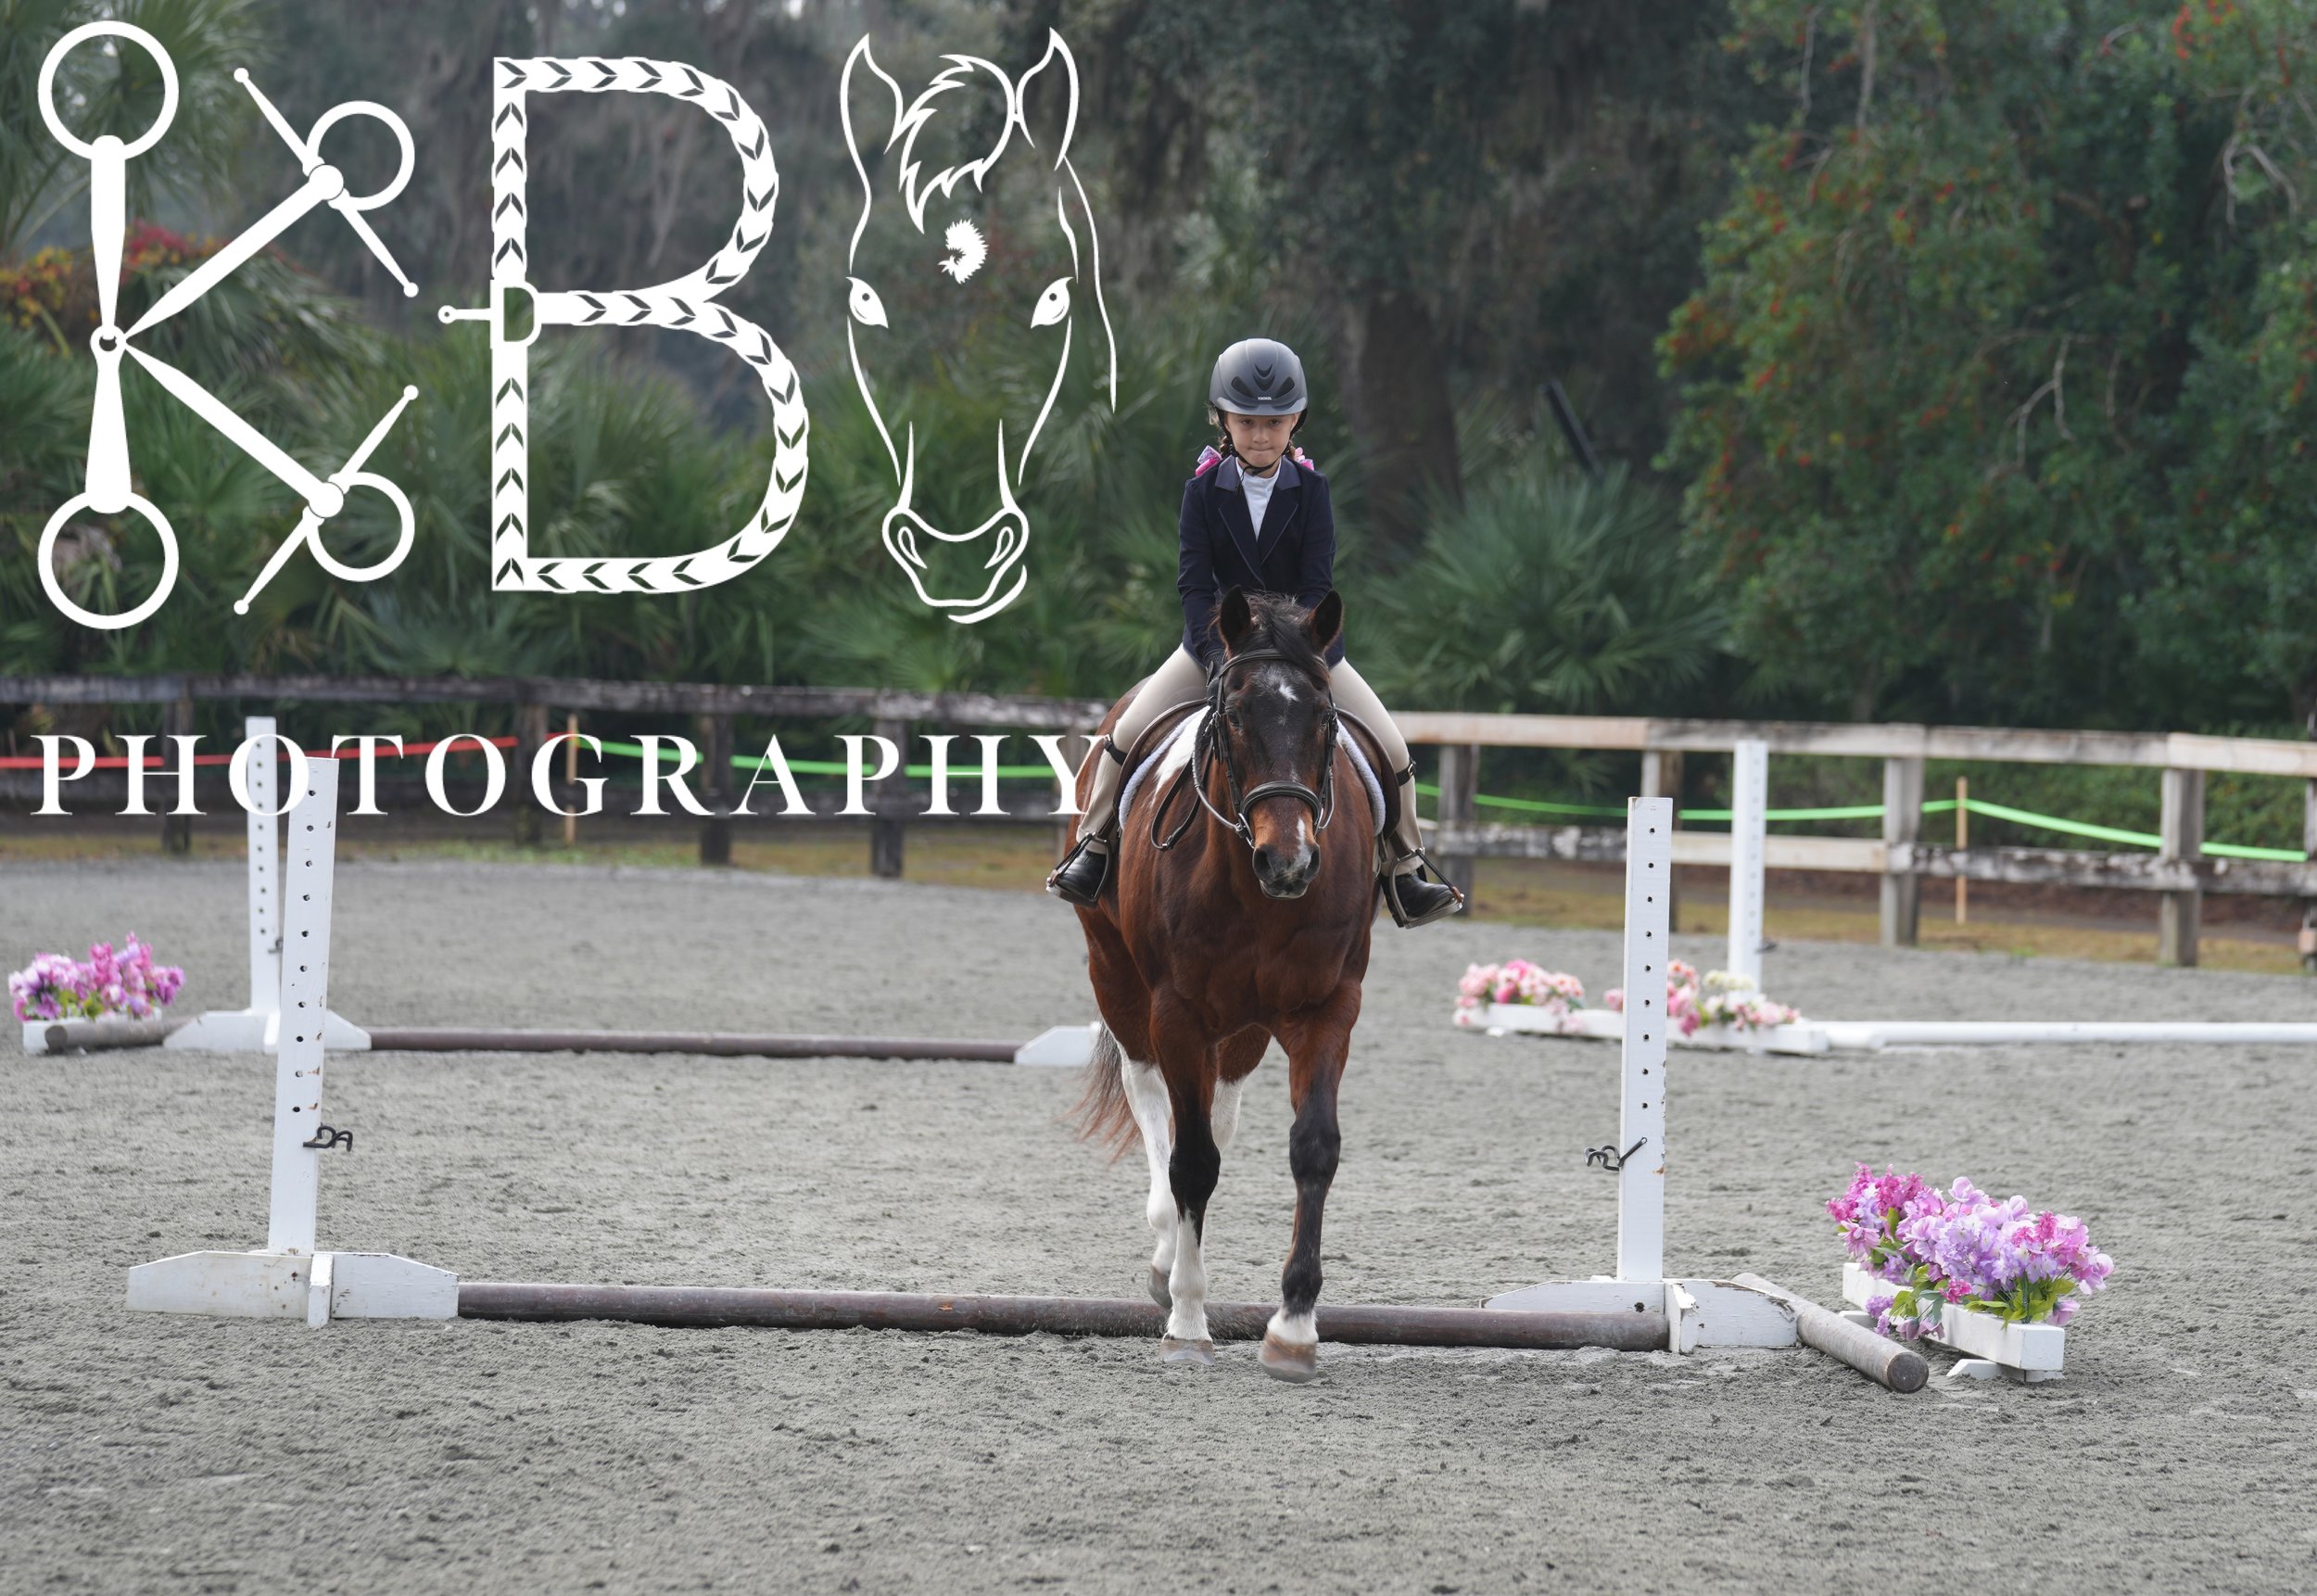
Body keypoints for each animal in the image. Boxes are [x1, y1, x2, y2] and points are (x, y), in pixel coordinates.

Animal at [1070, 587, 1381, 1383]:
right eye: (1235, 717)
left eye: (1325, 719)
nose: (1289, 862)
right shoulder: (1176, 1011)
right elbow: (1192, 1161)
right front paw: (1186, 1320)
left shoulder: (1328, 1008)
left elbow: (1314, 1147)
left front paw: (1294, 1329)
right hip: (1116, 975)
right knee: (1151, 1093)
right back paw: (1161, 1252)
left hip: (1247, 1023)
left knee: (1222, 1105)